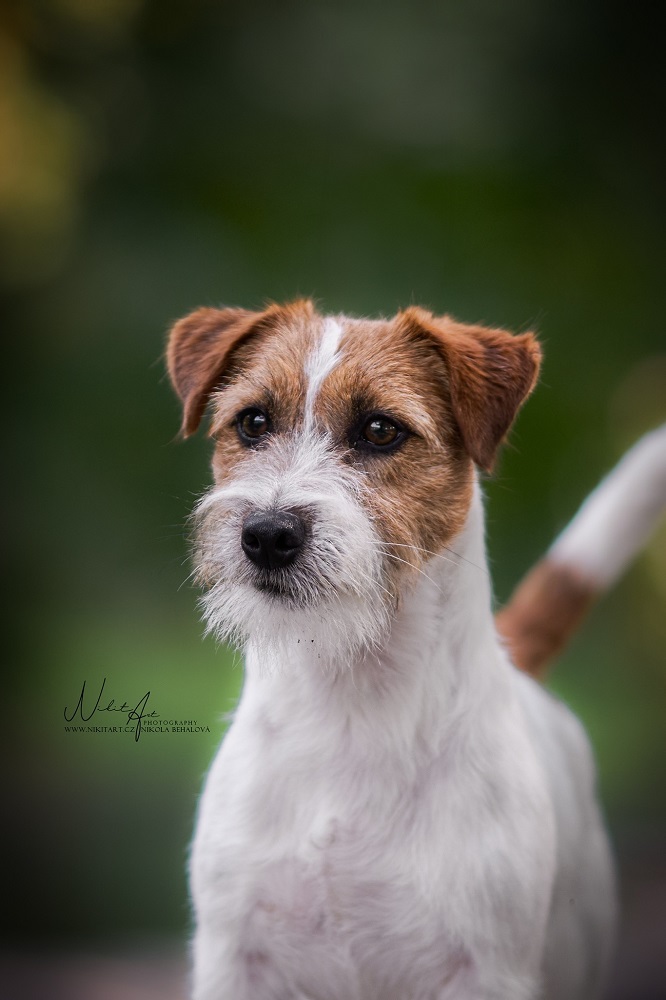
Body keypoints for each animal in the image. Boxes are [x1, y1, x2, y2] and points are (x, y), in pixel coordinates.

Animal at [166, 299, 665, 1000]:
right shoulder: (235, 961)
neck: (349, 707)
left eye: (380, 430)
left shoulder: (486, 972)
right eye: (253, 422)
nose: (266, 534)